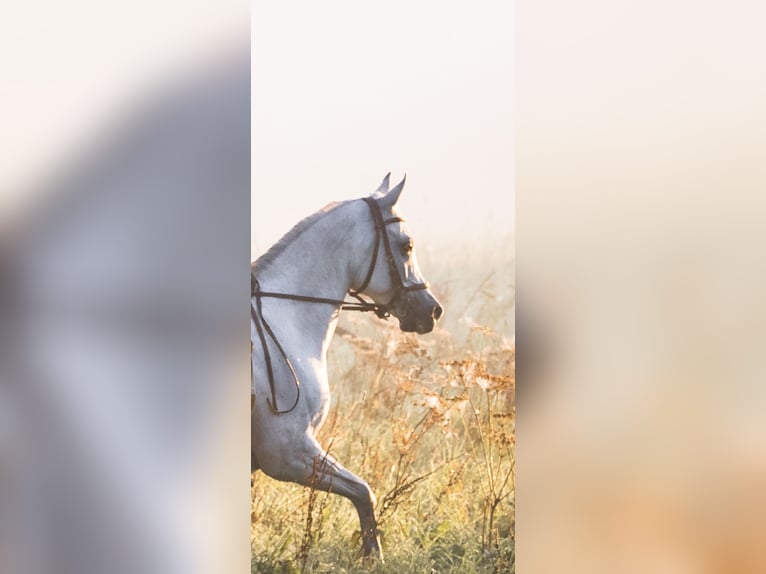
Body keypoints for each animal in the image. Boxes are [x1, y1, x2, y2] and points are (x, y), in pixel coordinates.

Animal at [252, 173, 444, 560]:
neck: (283, 319)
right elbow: (364, 492)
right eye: (407, 245)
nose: (432, 310)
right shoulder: (287, 452)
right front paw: (373, 556)